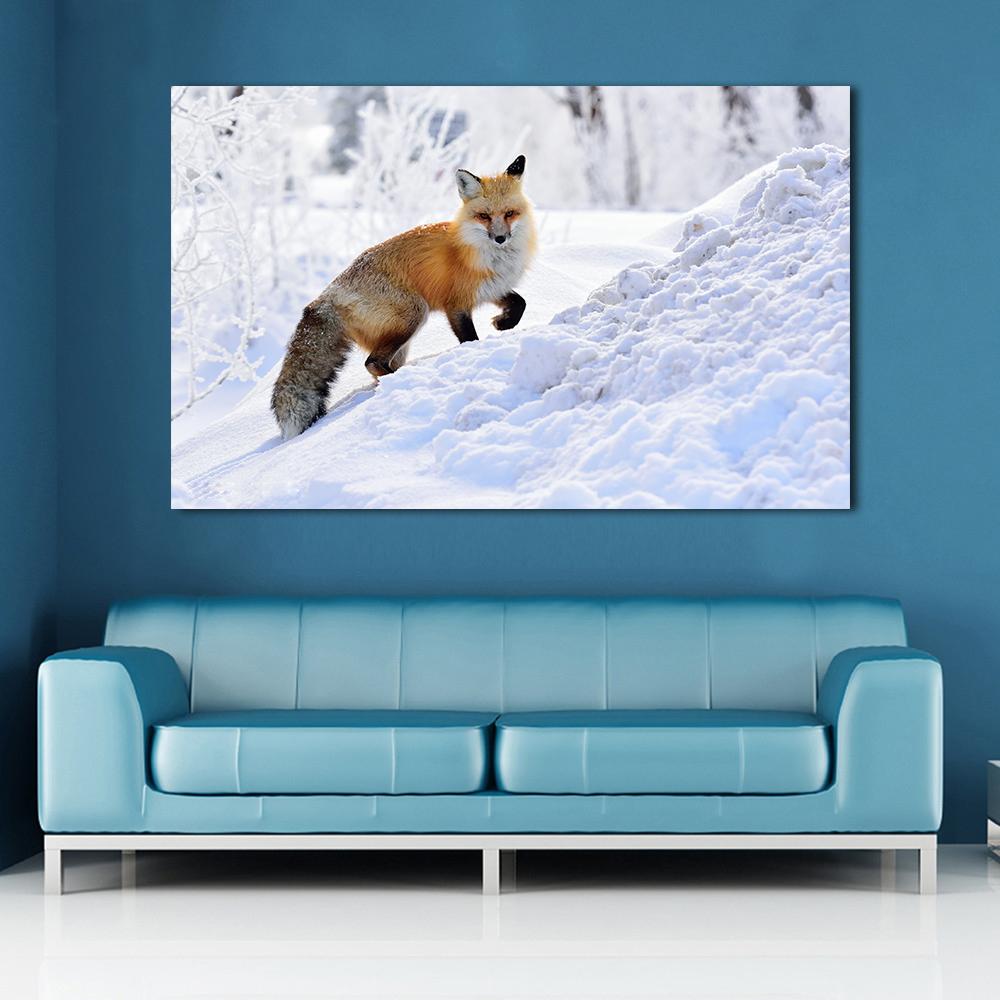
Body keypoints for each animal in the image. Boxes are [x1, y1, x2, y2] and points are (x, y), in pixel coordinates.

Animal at [271, 154, 538, 439]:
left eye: (509, 213)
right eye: (484, 216)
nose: (500, 238)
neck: (484, 254)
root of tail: (326, 295)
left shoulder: (491, 289)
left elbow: (520, 303)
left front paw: (503, 323)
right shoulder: (455, 304)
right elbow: (469, 339)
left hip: (401, 339)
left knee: (377, 366)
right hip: (413, 316)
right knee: (372, 362)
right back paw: (402, 378)